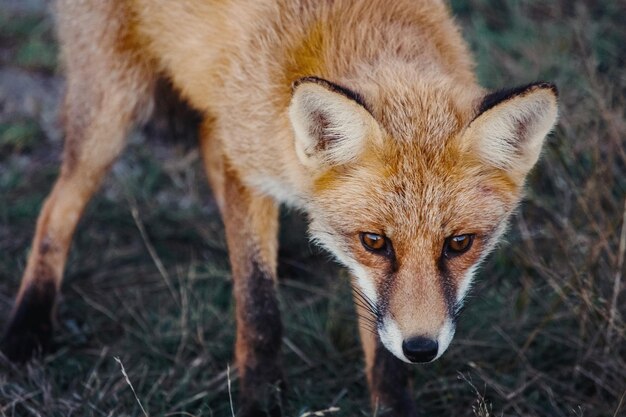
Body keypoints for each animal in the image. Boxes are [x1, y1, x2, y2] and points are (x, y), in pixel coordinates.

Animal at [0, 0, 556, 414]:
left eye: (459, 243)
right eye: (375, 241)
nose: (422, 349)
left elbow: (378, 344)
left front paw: (393, 401)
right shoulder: (247, 169)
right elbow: (258, 306)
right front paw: (262, 398)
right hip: (113, 107)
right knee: (57, 206)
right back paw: (29, 323)